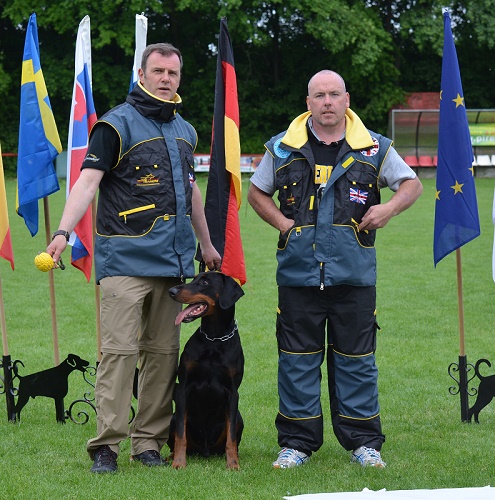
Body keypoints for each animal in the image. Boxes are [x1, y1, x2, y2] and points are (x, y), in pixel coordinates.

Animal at [169, 272, 246, 466]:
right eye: (194, 278)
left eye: (204, 282)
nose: (171, 291)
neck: (214, 339)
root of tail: (205, 450)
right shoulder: (183, 388)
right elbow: (180, 434)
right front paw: (179, 463)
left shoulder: (233, 392)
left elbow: (231, 438)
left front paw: (233, 464)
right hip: (172, 419)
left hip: (239, 418)